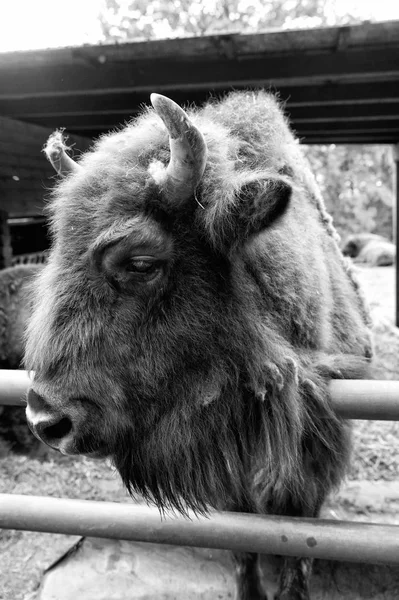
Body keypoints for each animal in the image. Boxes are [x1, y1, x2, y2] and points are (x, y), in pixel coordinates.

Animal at [25, 91, 374, 596]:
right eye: (55, 257)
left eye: (141, 261)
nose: (46, 421)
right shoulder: (230, 486)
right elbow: (243, 551)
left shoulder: (308, 476)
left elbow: (297, 556)